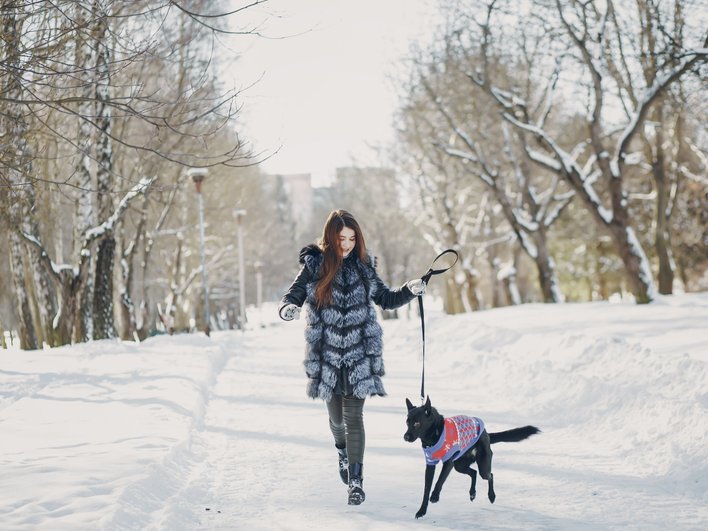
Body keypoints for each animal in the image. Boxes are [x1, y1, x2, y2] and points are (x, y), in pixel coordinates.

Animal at [406, 400, 540, 520]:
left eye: (417, 423)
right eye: (407, 422)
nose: (405, 437)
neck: (435, 434)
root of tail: (486, 434)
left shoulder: (448, 463)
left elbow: (440, 480)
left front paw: (435, 496)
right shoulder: (430, 465)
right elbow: (426, 488)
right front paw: (422, 511)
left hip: (482, 466)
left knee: (489, 475)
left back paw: (491, 496)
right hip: (459, 465)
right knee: (474, 473)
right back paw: (472, 493)